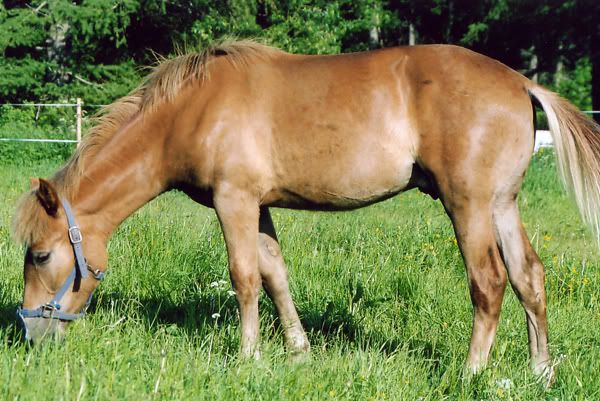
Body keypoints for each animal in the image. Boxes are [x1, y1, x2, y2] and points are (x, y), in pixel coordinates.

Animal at [12, 40, 600, 384]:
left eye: (40, 255)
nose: (30, 337)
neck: (193, 110)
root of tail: (521, 82)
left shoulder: (234, 201)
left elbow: (245, 277)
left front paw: (248, 357)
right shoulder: (260, 206)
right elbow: (276, 275)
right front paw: (297, 352)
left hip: (469, 207)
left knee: (490, 282)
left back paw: (472, 373)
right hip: (501, 206)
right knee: (529, 277)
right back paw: (541, 372)